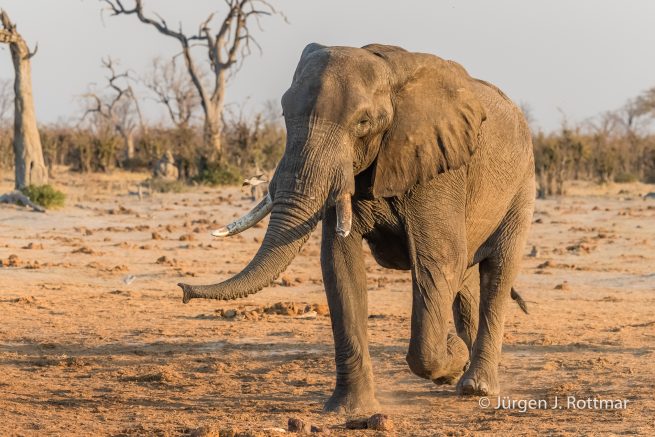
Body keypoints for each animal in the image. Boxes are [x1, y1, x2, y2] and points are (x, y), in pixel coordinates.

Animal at [178, 43, 535, 413]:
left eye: (363, 123)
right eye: (284, 112)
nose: (184, 290)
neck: (388, 70)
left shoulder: (440, 168)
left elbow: (437, 260)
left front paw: (452, 356)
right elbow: (340, 264)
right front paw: (349, 410)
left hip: (522, 184)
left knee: (497, 270)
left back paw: (476, 386)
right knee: (465, 278)